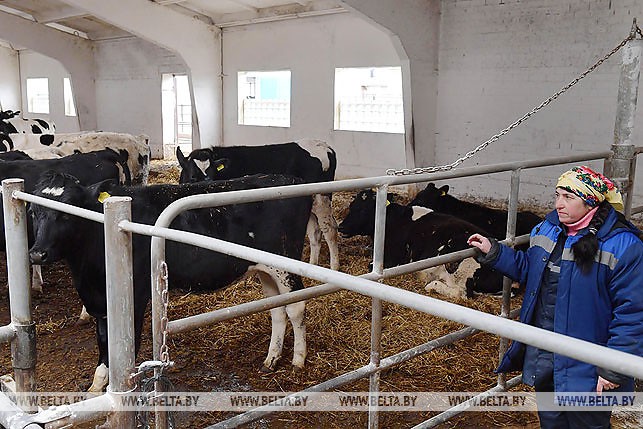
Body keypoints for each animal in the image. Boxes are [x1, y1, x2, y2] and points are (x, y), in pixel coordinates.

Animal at [28, 172, 312, 392]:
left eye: (67, 214)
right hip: (265, 268)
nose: (37, 253)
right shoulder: (99, 298)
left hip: (286, 262)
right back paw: (271, 359)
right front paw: (98, 385)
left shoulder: (135, 295)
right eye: (33, 211)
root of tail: (289, 179)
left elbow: (128, 343)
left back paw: (298, 360)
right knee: (278, 309)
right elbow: (103, 339)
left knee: (296, 307)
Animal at [176, 139, 340, 271]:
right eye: (193, 176)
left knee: (330, 229)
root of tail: (325, 146)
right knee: (315, 232)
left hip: (322, 198)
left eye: (213, 174)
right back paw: (312, 265)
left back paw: (334, 267)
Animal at [338, 190, 510, 299]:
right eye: (352, 206)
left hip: (460, 266)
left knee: (461, 293)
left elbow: (371, 265)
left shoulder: (394, 259)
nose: (341, 227)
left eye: (365, 210)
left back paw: (432, 284)